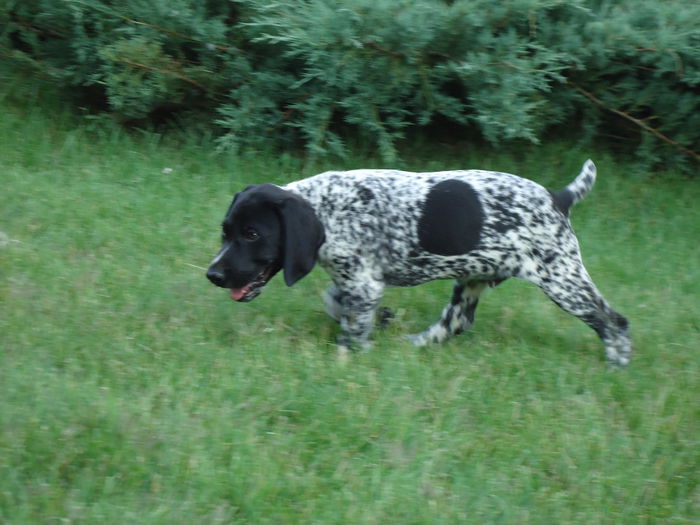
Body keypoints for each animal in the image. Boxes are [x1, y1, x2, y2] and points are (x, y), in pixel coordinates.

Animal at [205, 160, 632, 364]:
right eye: (225, 231)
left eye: (252, 234)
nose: (213, 274)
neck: (327, 208)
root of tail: (558, 197)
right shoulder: (357, 282)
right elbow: (337, 302)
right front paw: (380, 321)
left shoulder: (363, 283)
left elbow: (352, 329)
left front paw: (350, 354)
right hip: (474, 276)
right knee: (457, 321)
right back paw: (416, 344)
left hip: (562, 279)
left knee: (614, 322)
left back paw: (616, 364)